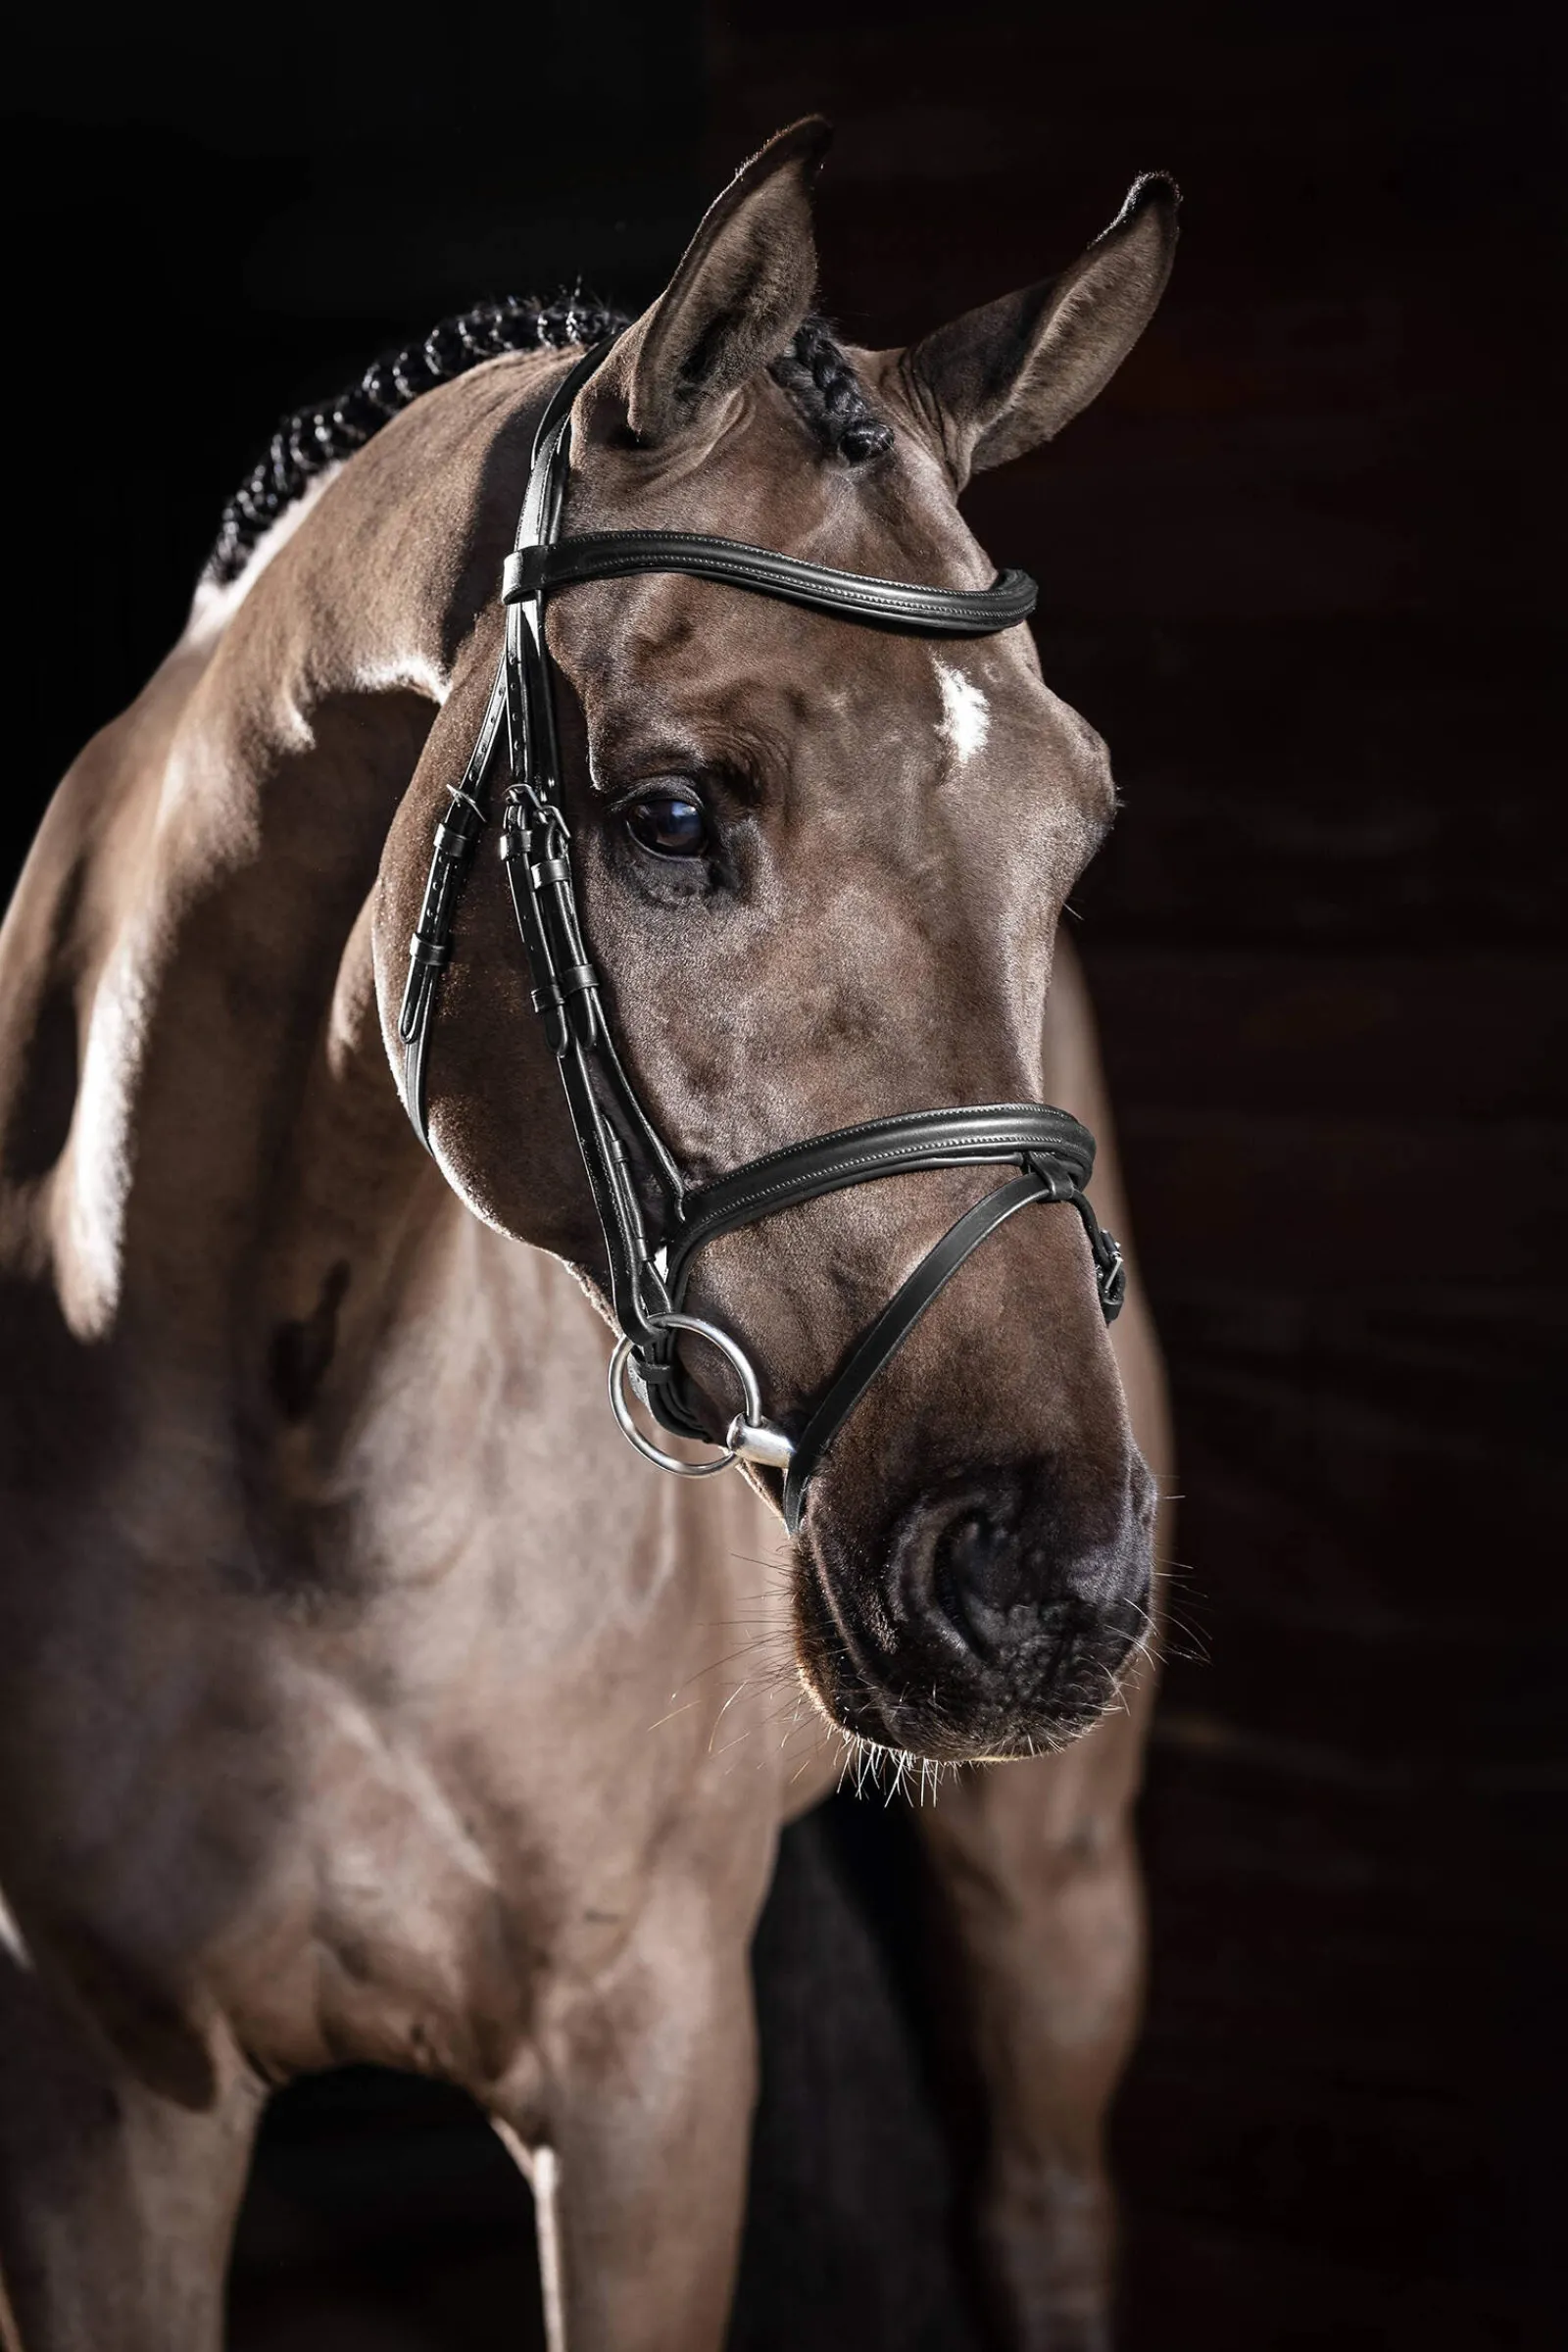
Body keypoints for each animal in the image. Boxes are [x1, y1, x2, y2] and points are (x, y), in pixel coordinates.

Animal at [0, 117, 1175, 2351]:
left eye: (1078, 828)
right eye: (669, 814)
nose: (1041, 1577)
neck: (313, 1453)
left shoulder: (647, 2082)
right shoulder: (101, 2102)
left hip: (1051, 1875)